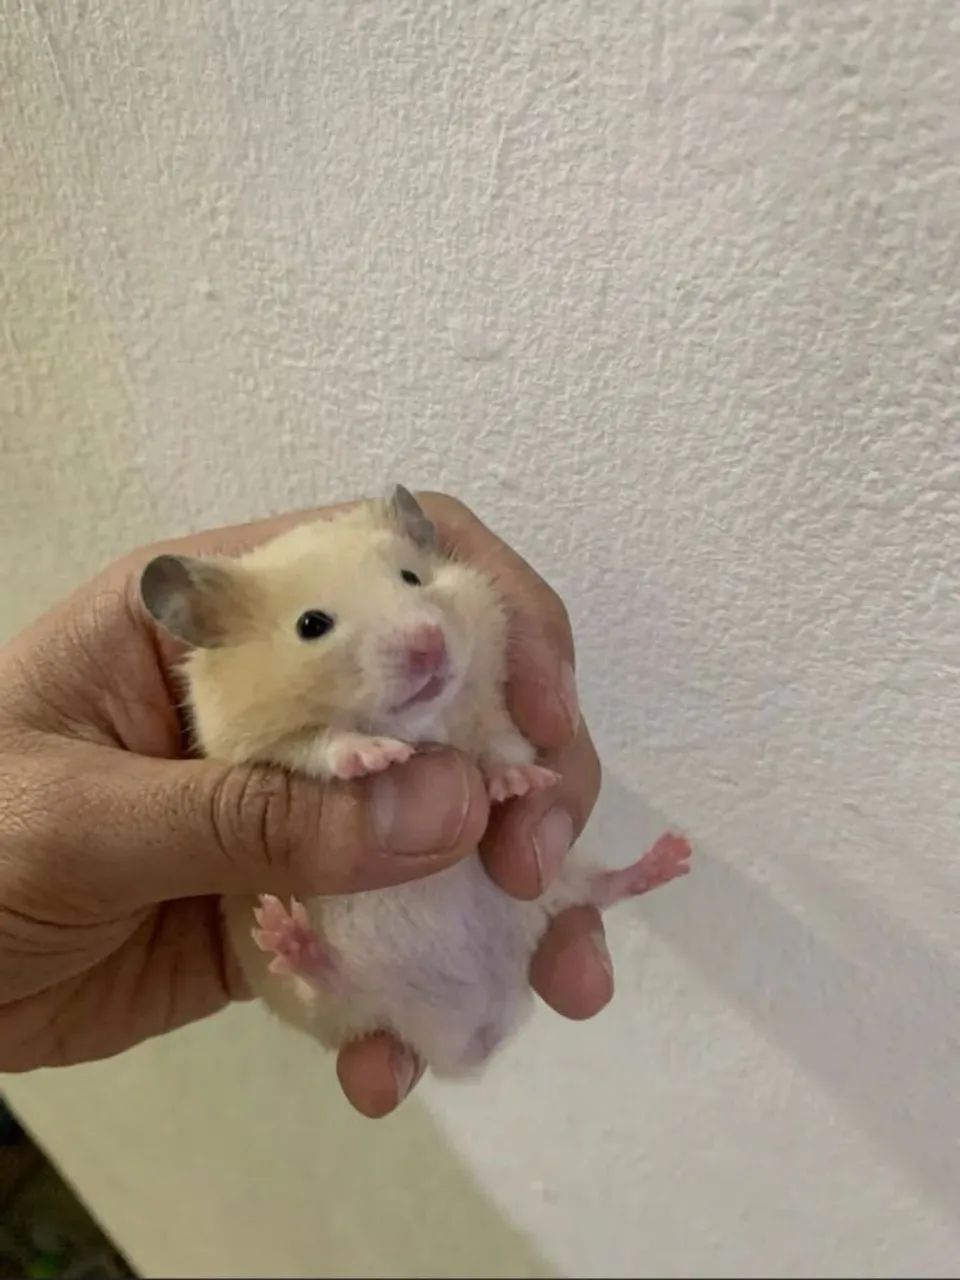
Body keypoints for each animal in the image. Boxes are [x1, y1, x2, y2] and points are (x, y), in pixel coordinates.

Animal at [140, 487, 691, 1079]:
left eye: (411, 577)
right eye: (311, 625)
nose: (429, 642)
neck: (423, 722)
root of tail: (470, 1038)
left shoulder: (489, 704)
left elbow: (499, 742)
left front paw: (520, 784)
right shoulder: (243, 741)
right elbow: (320, 743)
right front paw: (377, 756)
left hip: (549, 893)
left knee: (598, 891)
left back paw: (669, 858)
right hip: (346, 1006)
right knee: (329, 984)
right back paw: (290, 938)